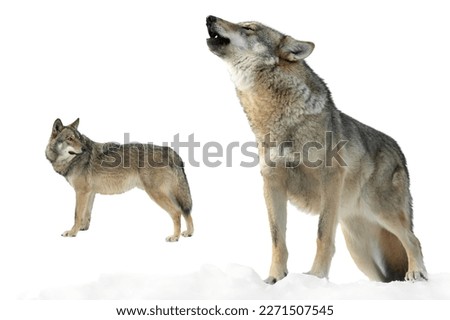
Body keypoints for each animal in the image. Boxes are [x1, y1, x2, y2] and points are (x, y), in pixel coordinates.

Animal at [45, 119, 193, 241]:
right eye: (70, 138)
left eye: (79, 138)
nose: (84, 148)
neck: (71, 161)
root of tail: (172, 152)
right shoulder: (89, 193)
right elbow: (86, 214)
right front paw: (83, 228)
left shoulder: (81, 192)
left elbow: (76, 214)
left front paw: (72, 232)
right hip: (171, 194)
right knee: (185, 210)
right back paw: (189, 233)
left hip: (157, 194)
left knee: (177, 212)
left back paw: (175, 237)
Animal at [206, 16, 428, 284]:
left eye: (248, 27)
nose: (209, 18)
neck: (278, 119)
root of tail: (399, 151)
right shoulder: (271, 182)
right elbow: (277, 239)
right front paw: (275, 279)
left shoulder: (330, 178)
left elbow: (323, 235)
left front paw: (316, 276)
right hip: (360, 252)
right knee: (385, 274)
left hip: (383, 213)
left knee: (414, 240)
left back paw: (416, 272)